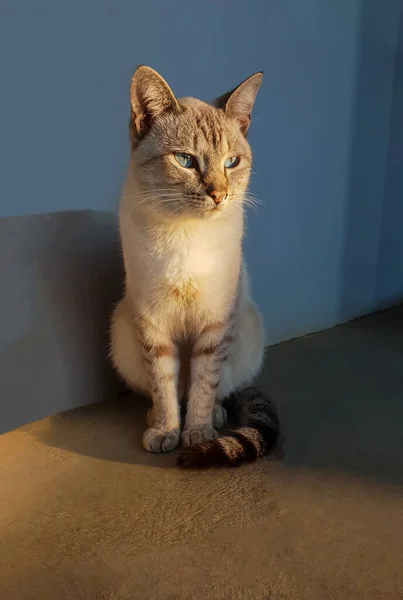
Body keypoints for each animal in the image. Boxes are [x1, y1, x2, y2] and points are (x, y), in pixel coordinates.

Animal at [110, 67, 280, 468]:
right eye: (185, 161)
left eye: (231, 162)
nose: (219, 195)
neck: (186, 233)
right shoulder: (152, 322)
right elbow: (163, 384)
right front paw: (166, 431)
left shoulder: (215, 323)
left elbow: (204, 384)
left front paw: (198, 435)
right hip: (121, 327)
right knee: (169, 392)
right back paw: (154, 418)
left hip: (247, 327)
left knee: (217, 388)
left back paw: (215, 418)